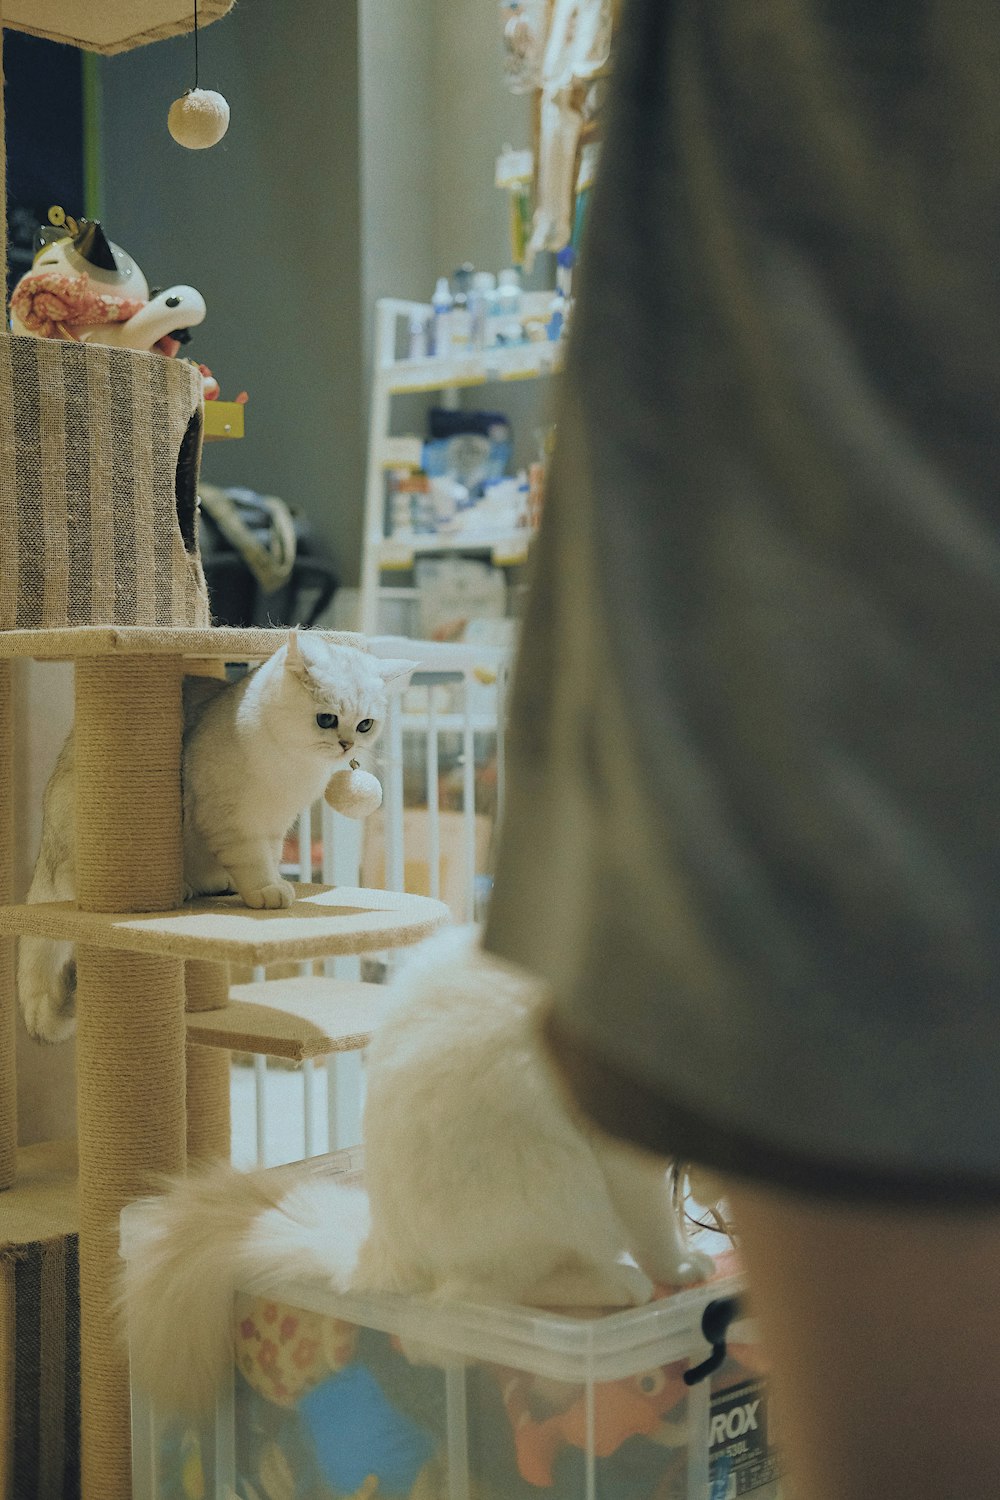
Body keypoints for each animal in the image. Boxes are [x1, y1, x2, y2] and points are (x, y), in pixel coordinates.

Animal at [16, 633, 413, 1044]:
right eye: (327, 719)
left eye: (365, 725)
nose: (347, 745)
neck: (294, 766)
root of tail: (44, 864)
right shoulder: (231, 821)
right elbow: (253, 862)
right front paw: (268, 891)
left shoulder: (275, 824)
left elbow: (269, 857)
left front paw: (268, 883)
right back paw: (184, 888)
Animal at [121, 924, 716, 1416]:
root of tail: (381, 1247)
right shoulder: (628, 1153)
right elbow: (659, 1234)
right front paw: (686, 1267)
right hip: (554, 1192)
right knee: (476, 1304)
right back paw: (622, 1283)